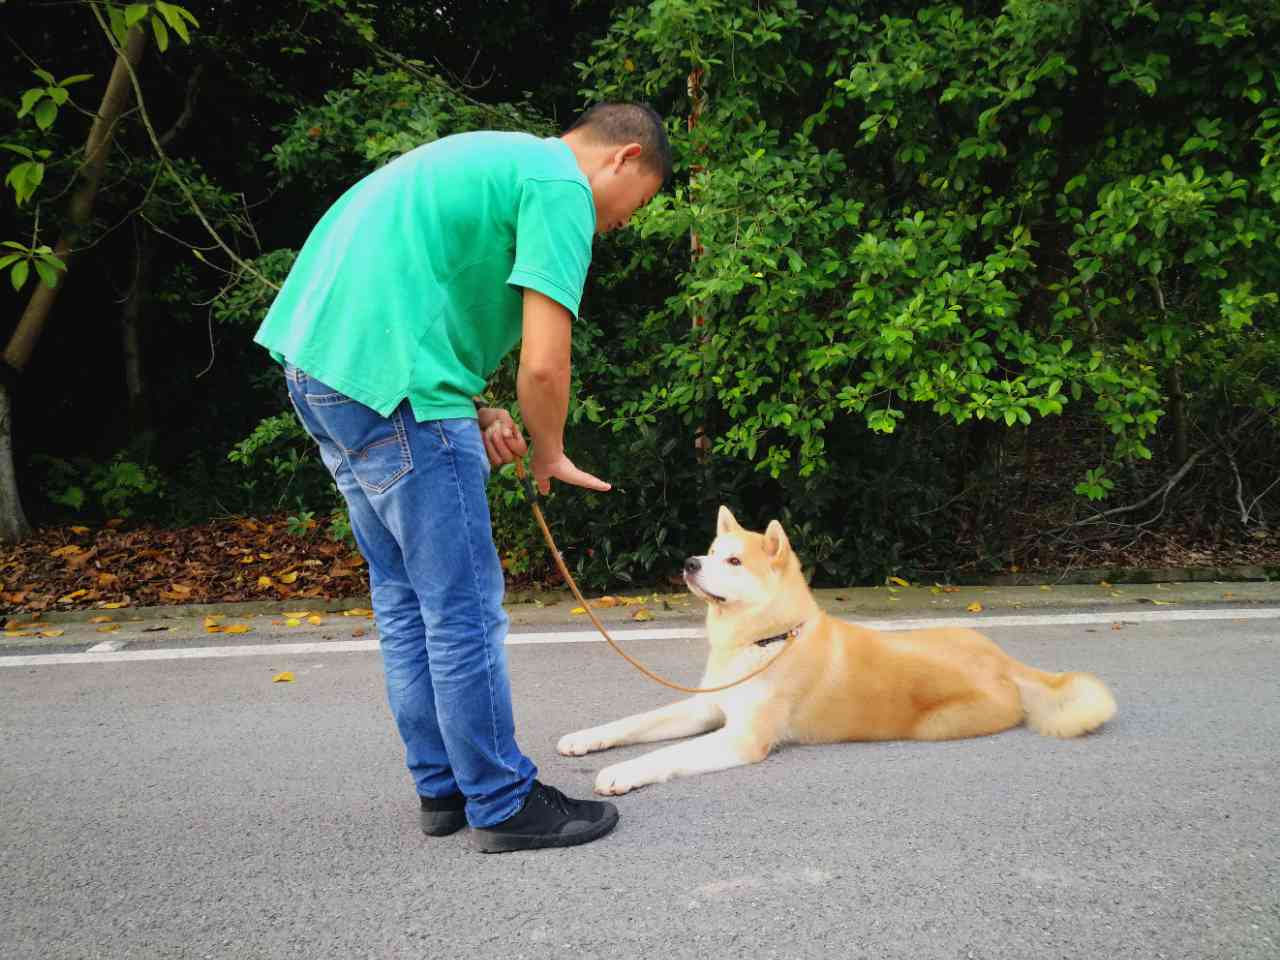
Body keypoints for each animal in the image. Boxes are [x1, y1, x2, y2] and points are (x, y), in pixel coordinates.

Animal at [555, 504, 1116, 798]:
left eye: (733, 561)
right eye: (711, 552)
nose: (690, 563)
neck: (764, 640)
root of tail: (1004, 662)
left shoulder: (741, 737)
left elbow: (666, 754)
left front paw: (623, 772)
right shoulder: (706, 707)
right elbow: (634, 723)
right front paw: (586, 738)